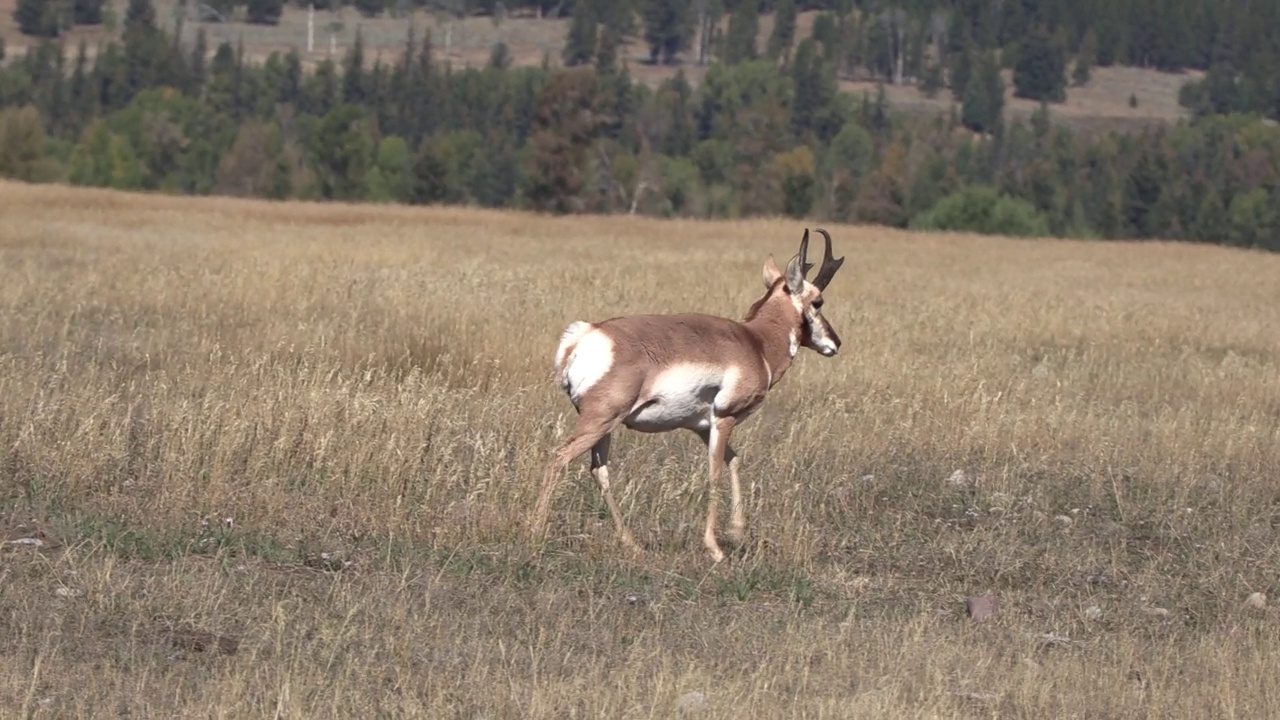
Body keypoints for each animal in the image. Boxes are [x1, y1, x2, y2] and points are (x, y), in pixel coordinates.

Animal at [532, 226, 849, 558]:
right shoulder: (724, 418)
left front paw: (737, 531)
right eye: (818, 301)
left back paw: (632, 543)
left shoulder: (701, 426)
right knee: (559, 457)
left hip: (605, 426)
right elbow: (714, 473)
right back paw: (536, 530)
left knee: (599, 471)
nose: (836, 343)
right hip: (599, 421)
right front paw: (715, 548)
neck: (756, 341)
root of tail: (586, 334)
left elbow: (734, 461)